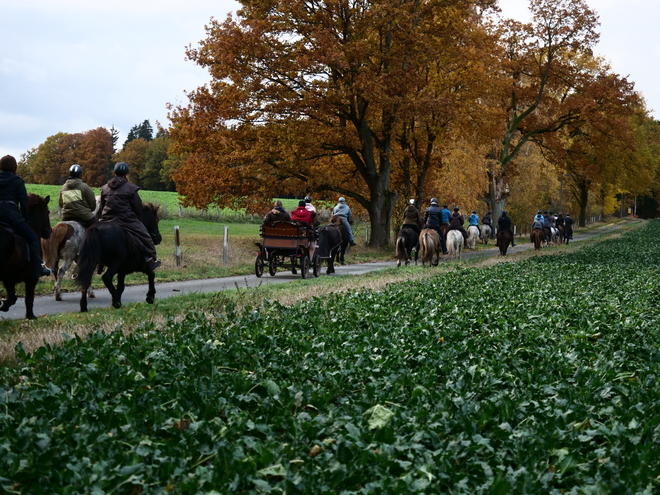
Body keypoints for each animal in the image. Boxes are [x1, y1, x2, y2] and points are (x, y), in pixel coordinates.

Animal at [0, 192, 52, 320]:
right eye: (48, 211)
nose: (49, 231)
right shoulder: (32, 278)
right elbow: (28, 298)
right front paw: (31, 316)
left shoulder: (8, 279)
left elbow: (12, 298)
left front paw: (4, 305)